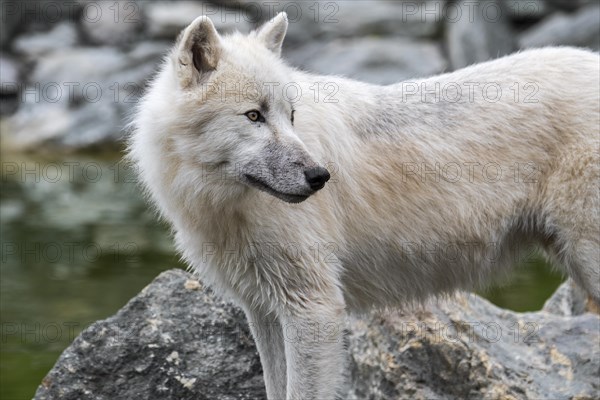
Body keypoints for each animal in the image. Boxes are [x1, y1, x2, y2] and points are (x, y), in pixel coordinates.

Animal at [127, 12, 600, 400]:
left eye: (291, 116)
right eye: (254, 116)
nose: (320, 176)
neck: (222, 206)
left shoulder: (313, 309)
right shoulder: (263, 310)